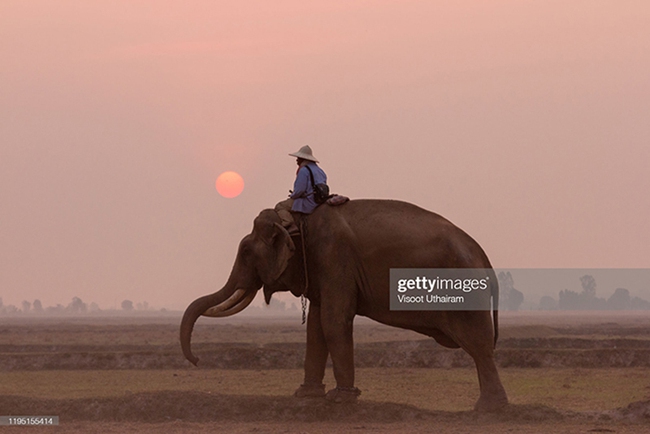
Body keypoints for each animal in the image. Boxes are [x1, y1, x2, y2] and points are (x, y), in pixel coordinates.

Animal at [180, 198, 508, 412]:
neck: (298, 219)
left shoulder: (334, 257)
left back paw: (488, 409)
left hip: (465, 291)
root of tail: (484, 258)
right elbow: (315, 327)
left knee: (478, 346)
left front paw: (341, 399)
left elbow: (333, 321)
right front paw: (305, 395)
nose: (196, 361)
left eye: (247, 251)